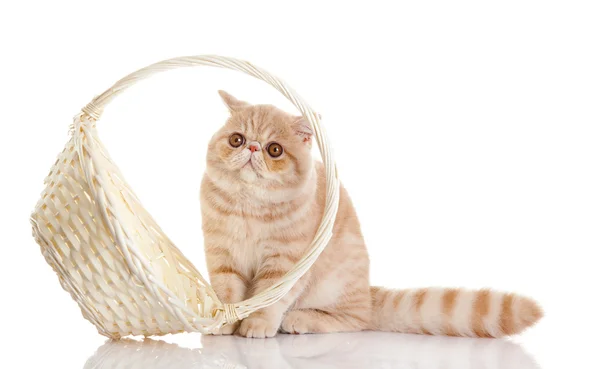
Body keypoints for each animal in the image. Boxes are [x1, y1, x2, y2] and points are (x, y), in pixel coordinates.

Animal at [202, 90, 544, 338]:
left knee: (356, 319)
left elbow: (272, 297)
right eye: (237, 140)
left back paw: (302, 319)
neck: (250, 206)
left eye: (275, 150)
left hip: (336, 286)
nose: (252, 149)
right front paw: (223, 322)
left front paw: (257, 323)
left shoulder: (287, 264)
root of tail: (368, 292)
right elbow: (227, 292)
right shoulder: (222, 256)